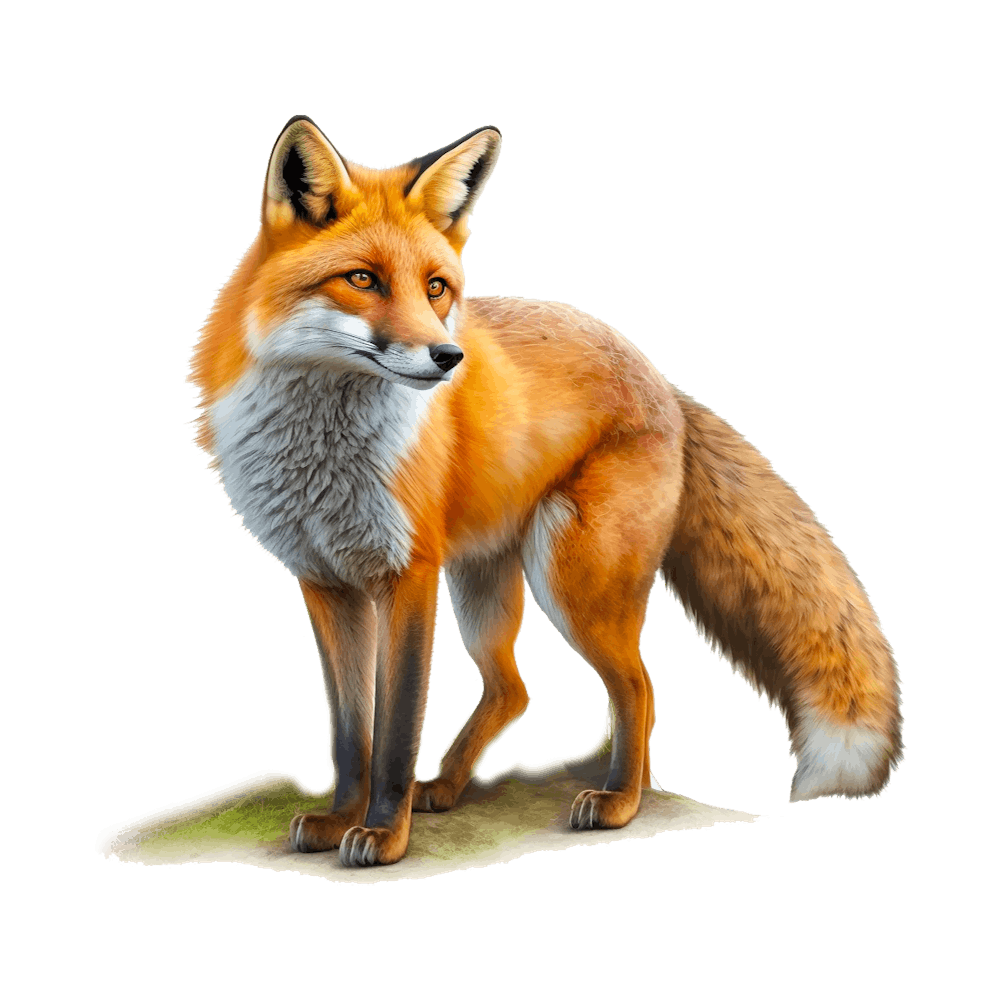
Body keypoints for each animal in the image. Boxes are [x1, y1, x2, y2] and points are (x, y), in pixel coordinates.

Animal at [187, 115, 904, 867]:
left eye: (436, 288)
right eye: (362, 279)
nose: (448, 358)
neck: (321, 453)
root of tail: (662, 381)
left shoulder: (408, 575)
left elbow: (397, 727)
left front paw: (383, 834)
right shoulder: (327, 583)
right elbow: (351, 733)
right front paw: (339, 819)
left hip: (573, 579)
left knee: (639, 687)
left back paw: (620, 801)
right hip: (484, 586)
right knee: (514, 689)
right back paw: (451, 786)